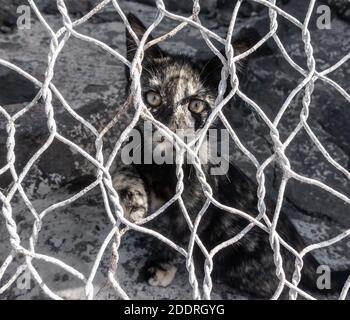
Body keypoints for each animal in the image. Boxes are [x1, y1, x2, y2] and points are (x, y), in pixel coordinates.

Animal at [111, 13, 348, 298]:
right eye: (153, 98)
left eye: (196, 105)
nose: (169, 129)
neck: (163, 167)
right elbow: (122, 161)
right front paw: (131, 197)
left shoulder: (198, 205)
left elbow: (181, 238)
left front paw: (163, 265)